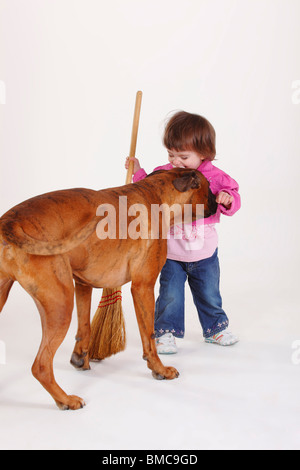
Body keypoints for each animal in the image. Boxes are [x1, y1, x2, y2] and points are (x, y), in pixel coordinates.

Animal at [0, 168, 217, 408]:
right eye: (209, 187)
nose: (218, 202)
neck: (157, 197)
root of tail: (10, 222)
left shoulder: (82, 285)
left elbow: (84, 326)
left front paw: (81, 358)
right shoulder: (143, 287)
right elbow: (149, 336)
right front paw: (159, 369)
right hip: (60, 306)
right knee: (41, 366)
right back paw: (66, 399)